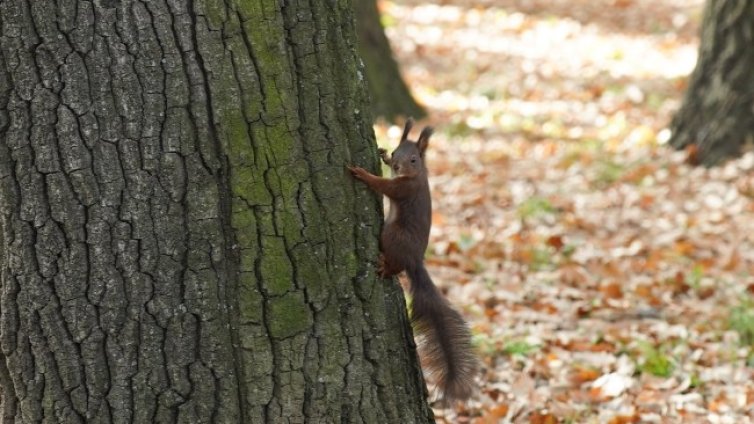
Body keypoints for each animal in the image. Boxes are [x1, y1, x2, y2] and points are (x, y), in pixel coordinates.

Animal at [346, 118, 476, 400]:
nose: (396, 165)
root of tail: (415, 261)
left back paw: (384, 267)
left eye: (414, 159)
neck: (416, 175)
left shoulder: (403, 188)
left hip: (392, 234)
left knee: (395, 265)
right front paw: (382, 154)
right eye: (397, 152)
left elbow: (383, 185)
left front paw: (362, 173)